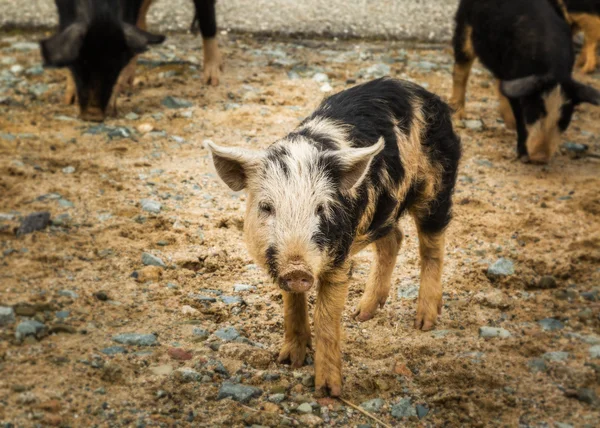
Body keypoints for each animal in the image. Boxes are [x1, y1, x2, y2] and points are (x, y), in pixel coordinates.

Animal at [205, 77, 460, 398]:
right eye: (266, 206)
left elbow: (325, 317)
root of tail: (423, 92)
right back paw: (361, 314)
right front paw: (289, 360)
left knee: (432, 247)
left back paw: (424, 323)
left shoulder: (340, 257)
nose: (297, 269)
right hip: (383, 211)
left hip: (437, 184)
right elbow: (292, 304)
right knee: (394, 240)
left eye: (320, 207)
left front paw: (328, 392)